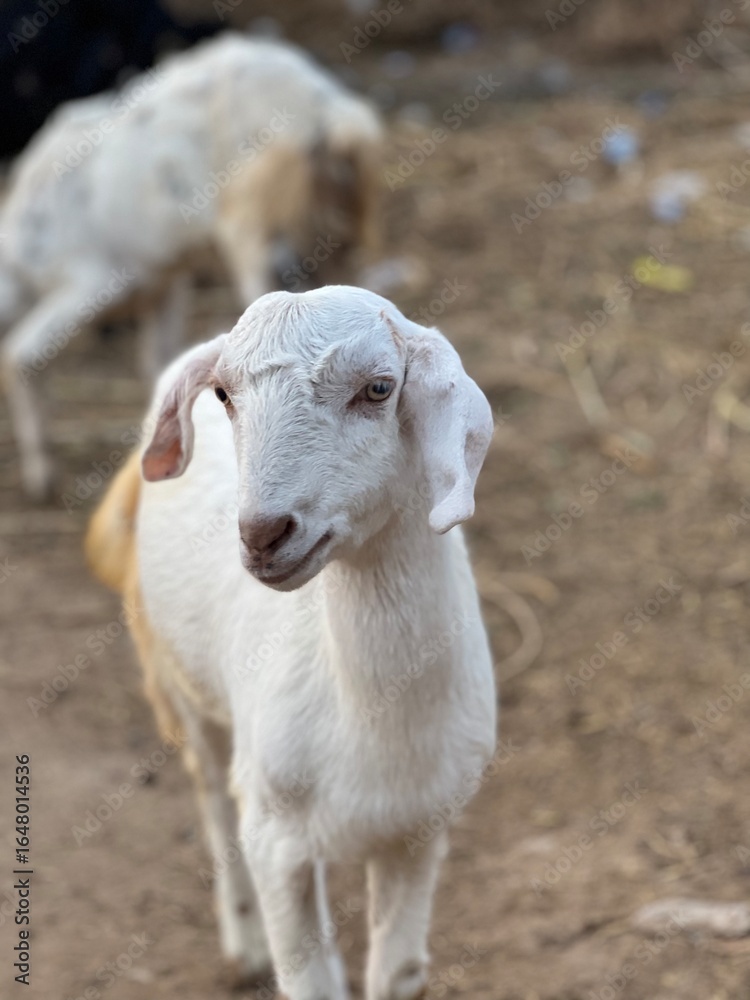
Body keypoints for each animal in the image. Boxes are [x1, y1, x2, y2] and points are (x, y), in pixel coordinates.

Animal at [1, 33, 382, 499]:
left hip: (255, 228)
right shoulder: (162, 286)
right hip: (334, 234)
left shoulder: (89, 278)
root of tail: (330, 112)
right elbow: (159, 362)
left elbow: (21, 355)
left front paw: (42, 475)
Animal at [86, 285, 496, 1000]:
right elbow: (310, 982)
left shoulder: (419, 833)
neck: (373, 716)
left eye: (380, 388)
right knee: (213, 796)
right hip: (179, 680)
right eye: (224, 394)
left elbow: (395, 974)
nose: (262, 534)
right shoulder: (278, 839)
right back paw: (245, 942)